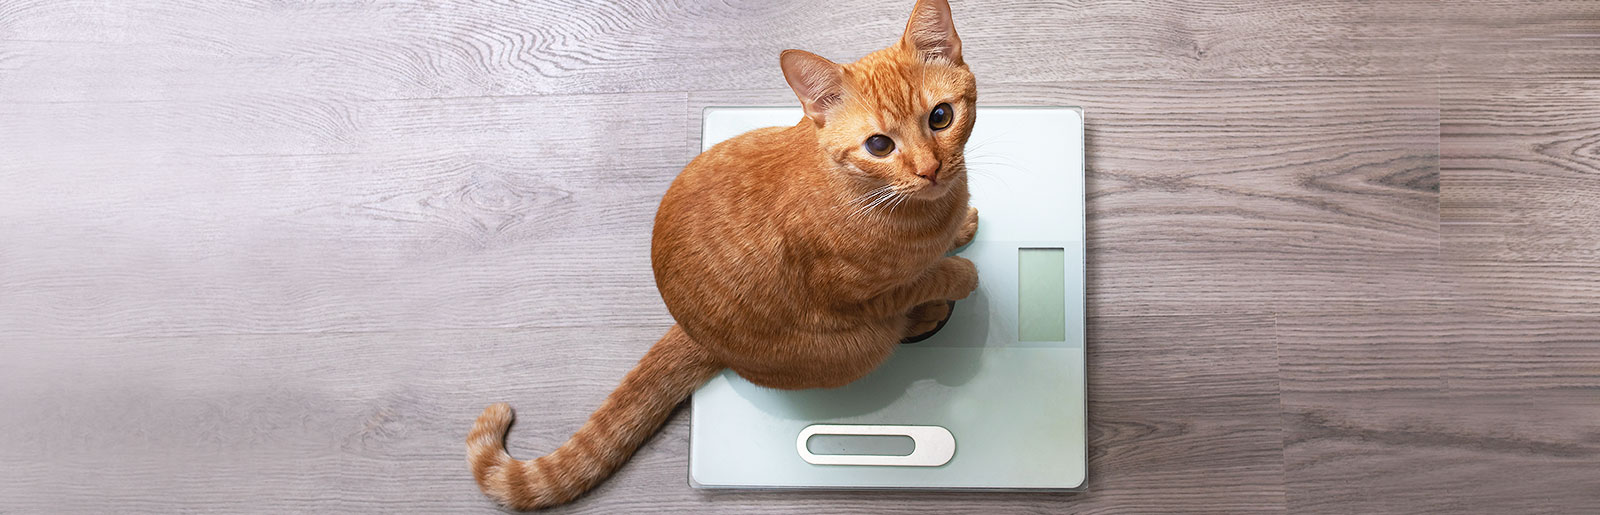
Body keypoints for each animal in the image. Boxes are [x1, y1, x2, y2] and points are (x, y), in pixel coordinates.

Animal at [467, 0, 979, 505]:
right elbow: (928, 279)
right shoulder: (860, 297)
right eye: (878, 145)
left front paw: (962, 228)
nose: (931, 169)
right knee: (890, 332)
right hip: (857, 347)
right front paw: (959, 274)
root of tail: (692, 333)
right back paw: (925, 314)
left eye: (940, 117)